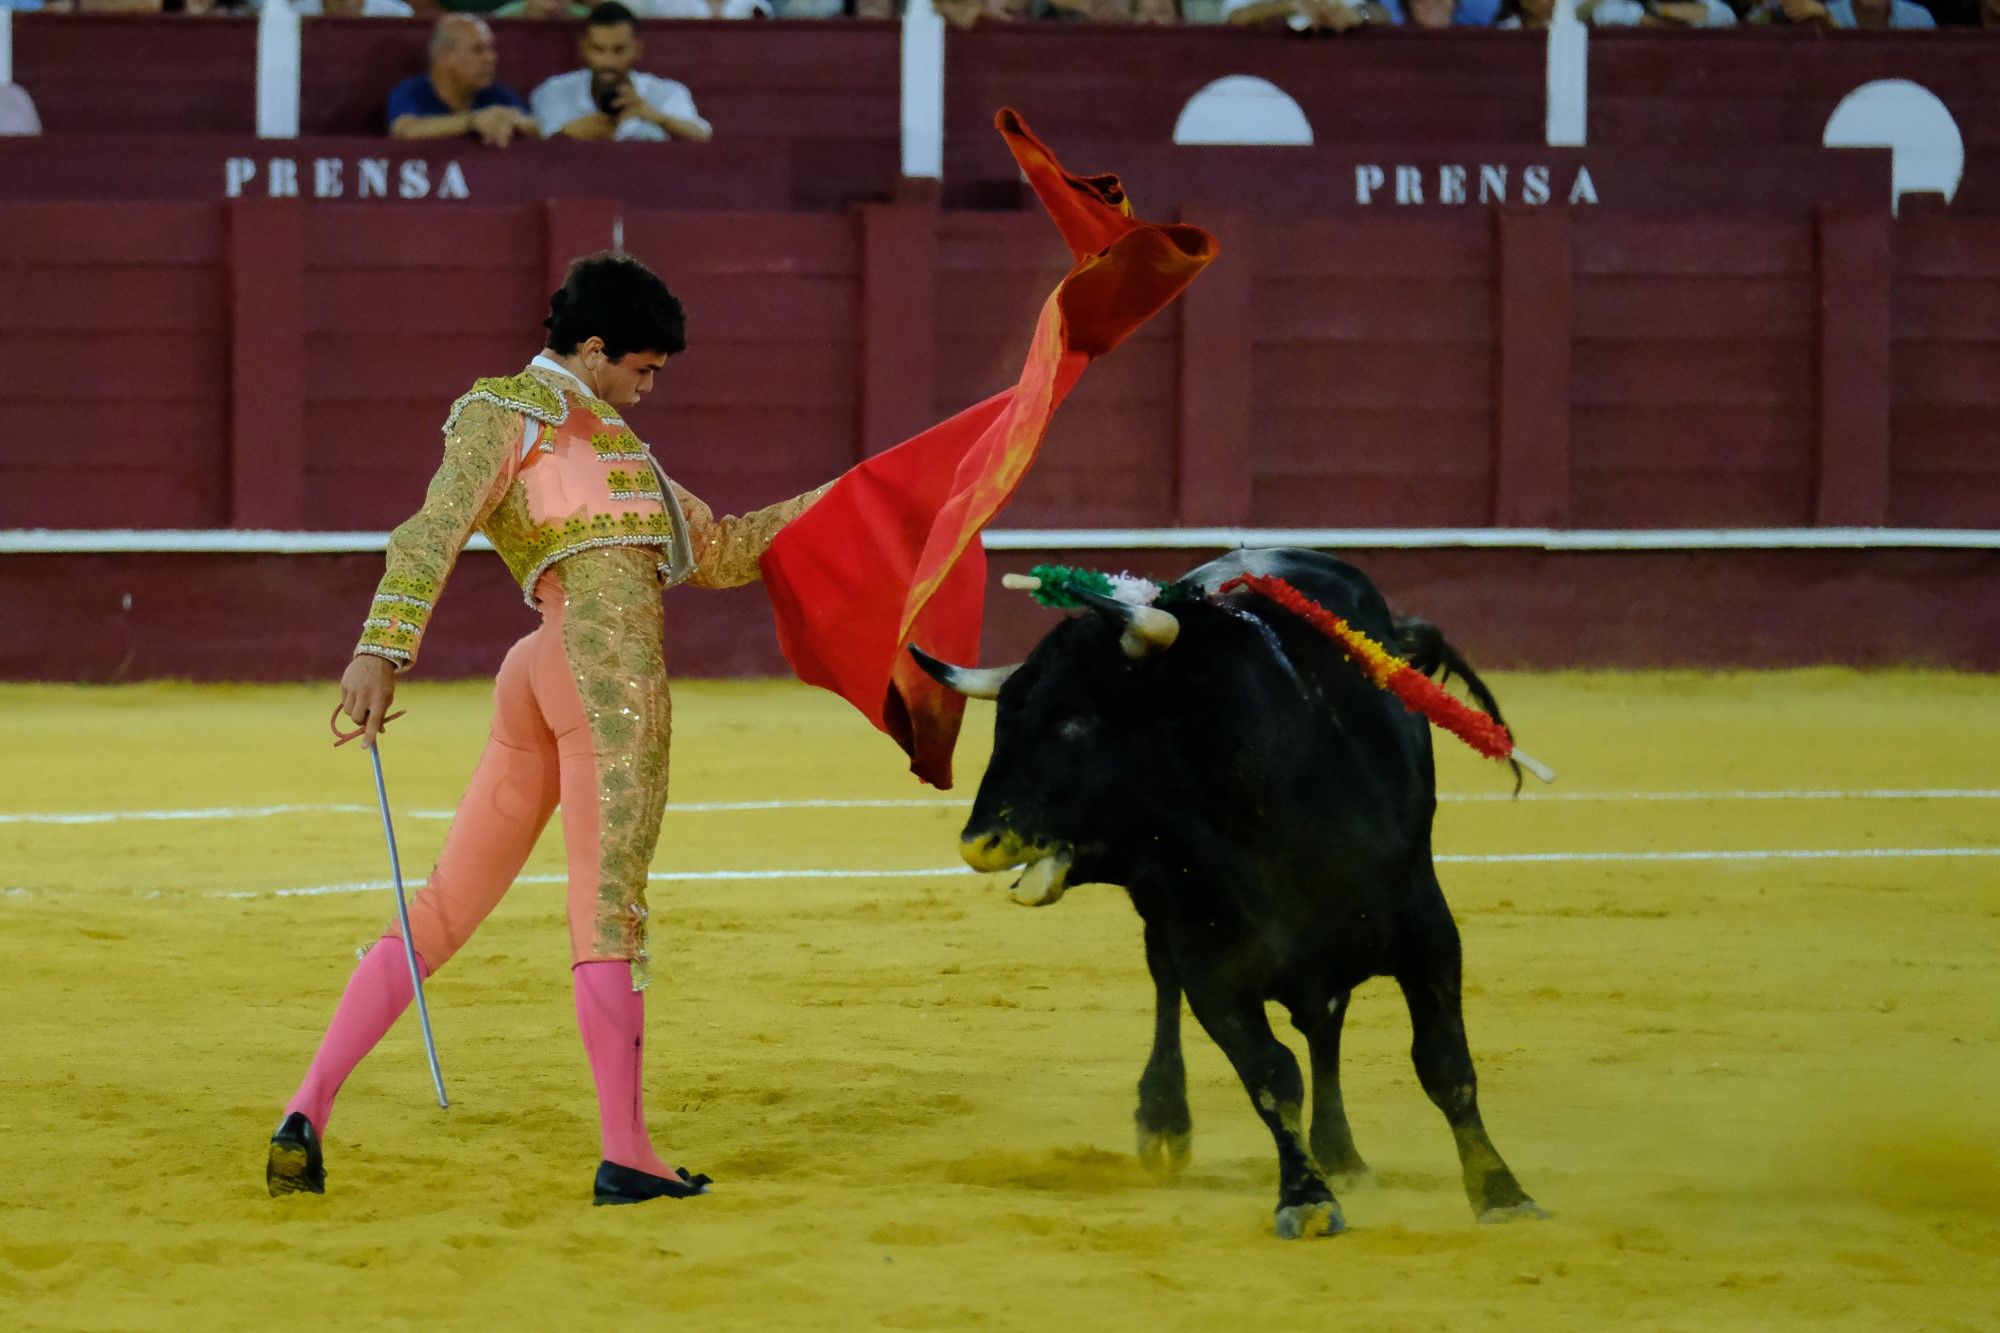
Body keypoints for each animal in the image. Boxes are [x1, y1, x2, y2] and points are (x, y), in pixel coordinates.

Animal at [912, 548, 1544, 1232]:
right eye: (1003, 721)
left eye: (1076, 720)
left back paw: (1342, 1153)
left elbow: (1444, 1065)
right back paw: (1165, 1122)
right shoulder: (1209, 963)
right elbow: (1269, 1074)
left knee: (1327, 1028)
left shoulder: (1426, 929)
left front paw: (1502, 1192)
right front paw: (1307, 1197)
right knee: (1173, 990)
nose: (979, 842)